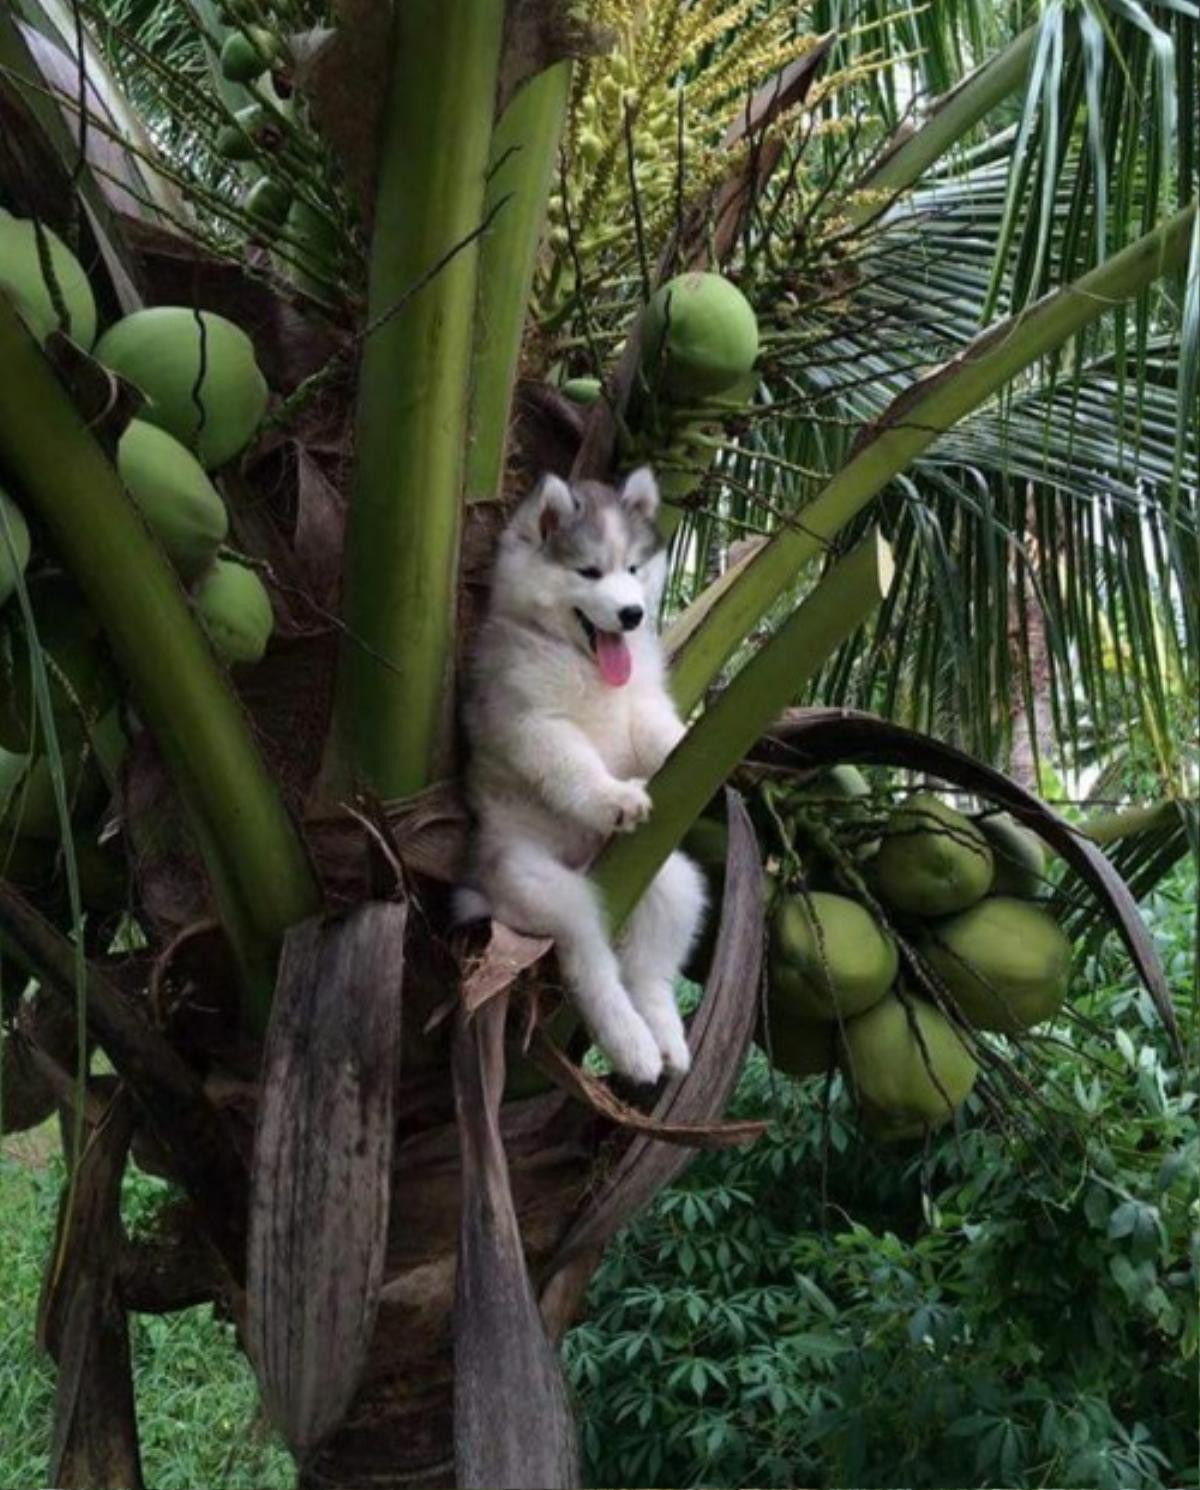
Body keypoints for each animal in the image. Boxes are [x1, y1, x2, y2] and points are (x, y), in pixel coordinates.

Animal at [456, 464, 703, 1084]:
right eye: (589, 572)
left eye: (633, 569)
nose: (633, 615)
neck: (582, 663)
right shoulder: (532, 723)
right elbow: (573, 764)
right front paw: (614, 796)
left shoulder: (642, 707)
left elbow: (659, 735)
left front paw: (688, 741)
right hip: (538, 884)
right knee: (590, 959)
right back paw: (632, 1043)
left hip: (671, 880)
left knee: (649, 967)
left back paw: (666, 1038)